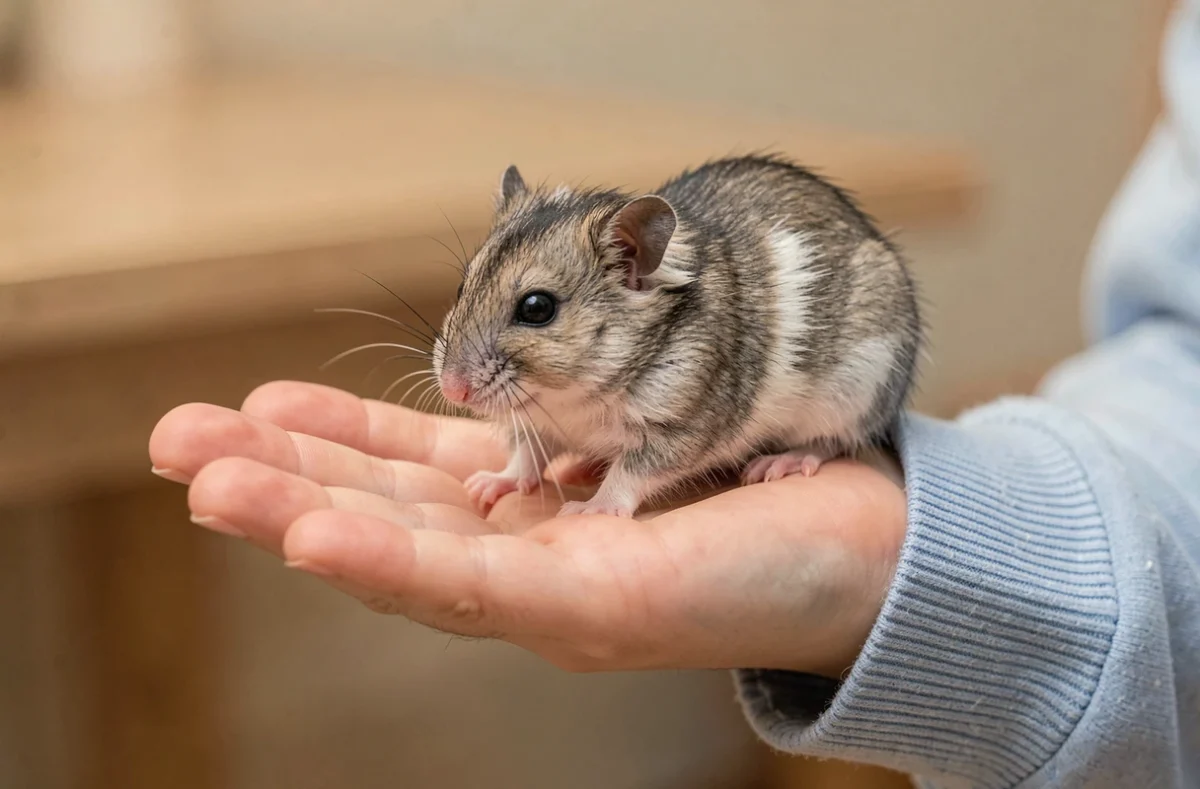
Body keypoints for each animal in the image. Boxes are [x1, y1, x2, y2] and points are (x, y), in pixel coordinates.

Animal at [432, 154, 922, 518]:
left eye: (537, 308)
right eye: (461, 287)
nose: (453, 391)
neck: (574, 400)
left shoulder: (681, 426)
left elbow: (632, 472)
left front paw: (592, 509)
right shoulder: (538, 423)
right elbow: (528, 456)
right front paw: (487, 484)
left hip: (857, 391)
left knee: (833, 441)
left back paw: (783, 460)